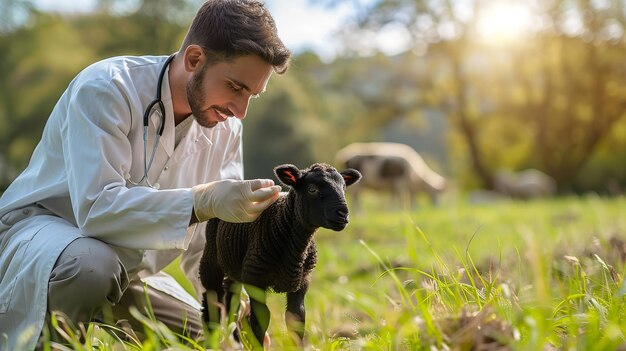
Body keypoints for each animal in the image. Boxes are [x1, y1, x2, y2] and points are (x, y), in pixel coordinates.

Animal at [200, 164, 360, 348]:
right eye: (312, 189)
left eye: (343, 188)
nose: (343, 214)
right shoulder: (255, 280)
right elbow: (261, 320)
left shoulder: (302, 282)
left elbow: (296, 320)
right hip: (211, 261)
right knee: (212, 303)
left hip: (236, 268)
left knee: (232, 301)